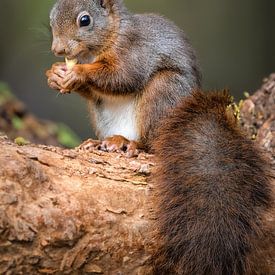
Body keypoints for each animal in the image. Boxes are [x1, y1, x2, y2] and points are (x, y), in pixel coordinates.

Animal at [45, 0, 274, 274]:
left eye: (85, 20)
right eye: (51, 20)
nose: (57, 50)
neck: (111, 35)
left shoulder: (135, 51)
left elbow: (122, 76)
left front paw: (77, 72)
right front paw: (54, 74)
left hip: (163, 93)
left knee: (151, 143)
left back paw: (128, 143)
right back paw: (100, 142)